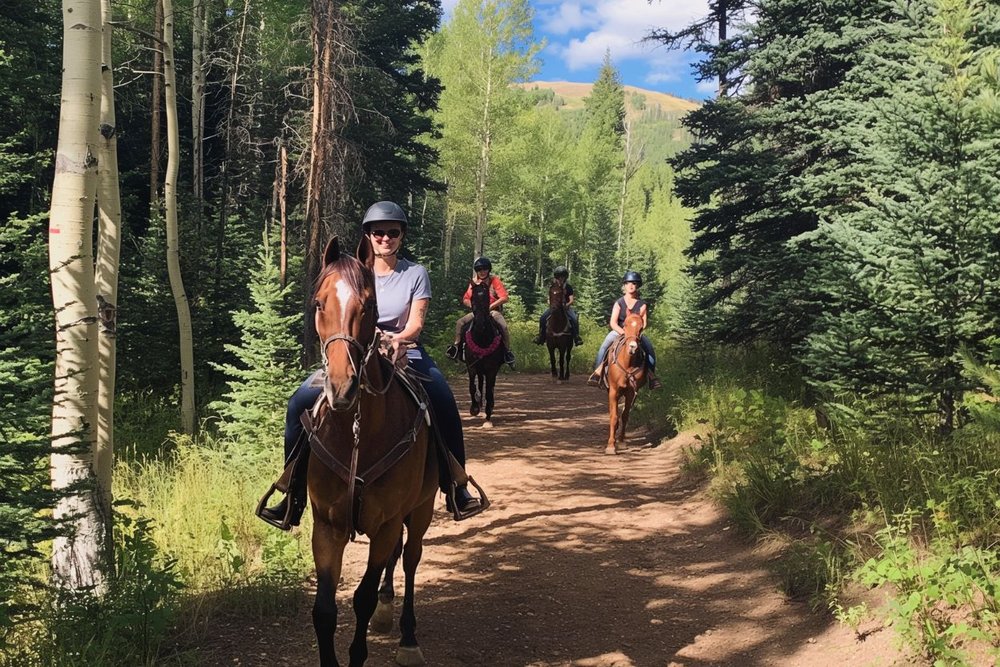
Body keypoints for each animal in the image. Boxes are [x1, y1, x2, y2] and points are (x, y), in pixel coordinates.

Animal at [310, 236, 440, 667]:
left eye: (368, 305)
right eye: (319, 303)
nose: (342, 388)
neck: (356, 437)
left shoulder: (386, 523)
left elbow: (362, 598)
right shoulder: (326, 524)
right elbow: (324, 609)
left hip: (421, 509)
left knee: (411, 558)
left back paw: (408, 638)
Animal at [462, 280, 504, 428]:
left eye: (486, 299)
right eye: (472, 298)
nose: (480, 325)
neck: (482, 338)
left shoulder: (492, 369)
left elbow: (489, 391)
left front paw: (488, 417)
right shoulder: (471, 366)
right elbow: (472, 387)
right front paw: (474, 408)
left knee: (490, 388)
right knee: (480, 383)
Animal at [600, 312, 648, 454]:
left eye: (641, 328)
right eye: (625, 324)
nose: (633, 347)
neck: (627, 364)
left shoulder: (631, 392)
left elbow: (625, 415)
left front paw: (621, 442)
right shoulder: (614, 390)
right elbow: (614, 416)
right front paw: (611, 445)